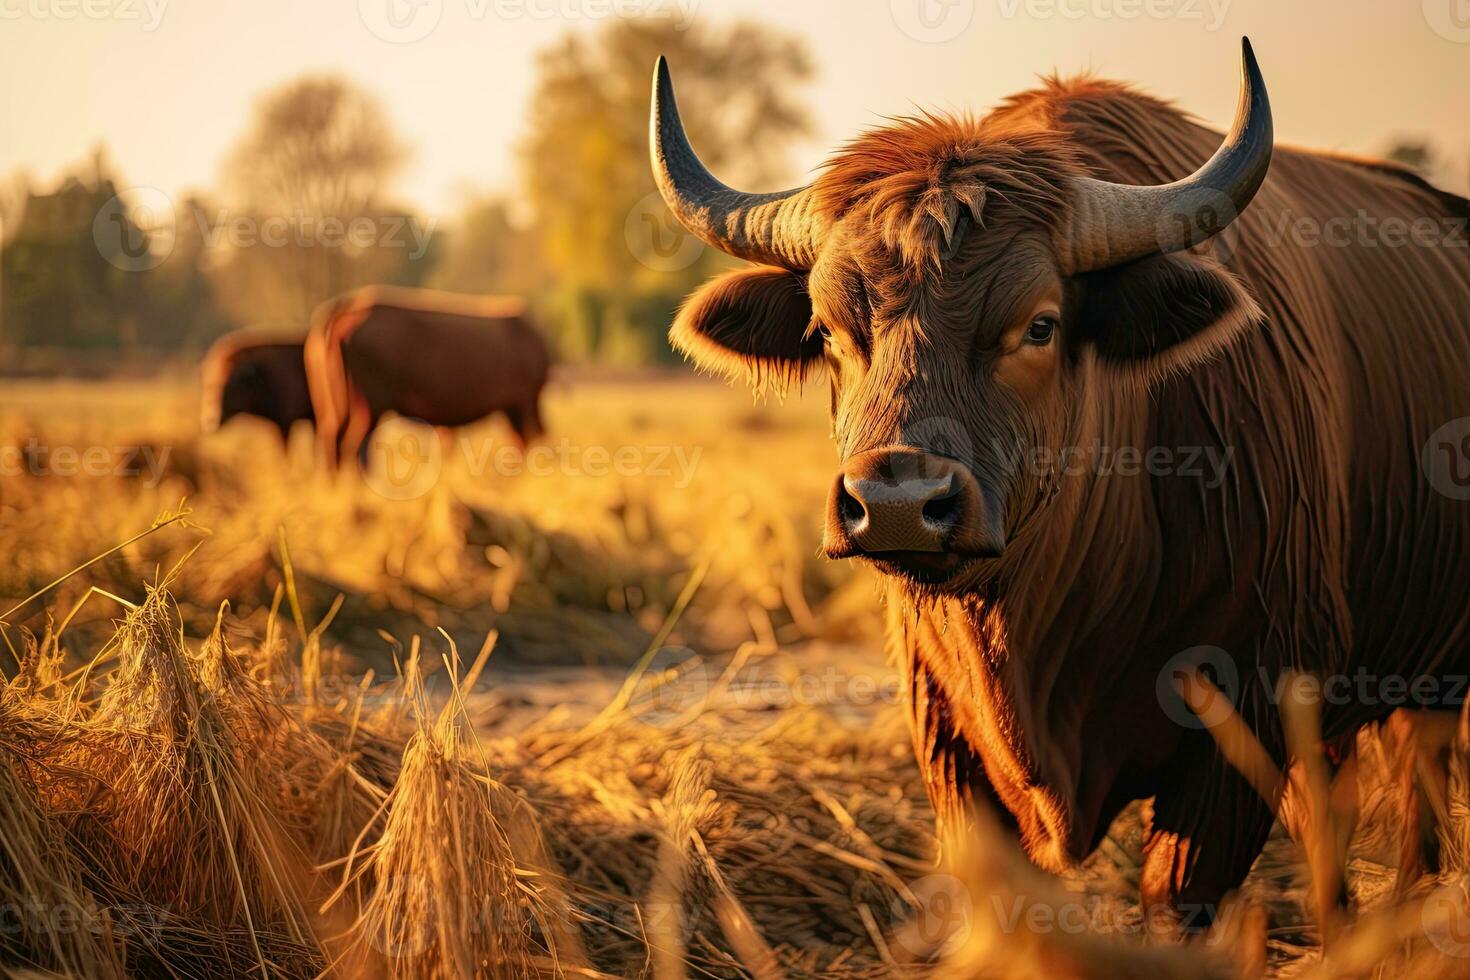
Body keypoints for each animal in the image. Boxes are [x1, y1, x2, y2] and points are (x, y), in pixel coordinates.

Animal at [652, 40, 1470, 928]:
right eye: (829, 331)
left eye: (1039, 325)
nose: (897, 507)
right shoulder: (947, 740)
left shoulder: (1247, 718)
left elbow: (1176, 897)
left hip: (1432, 688)